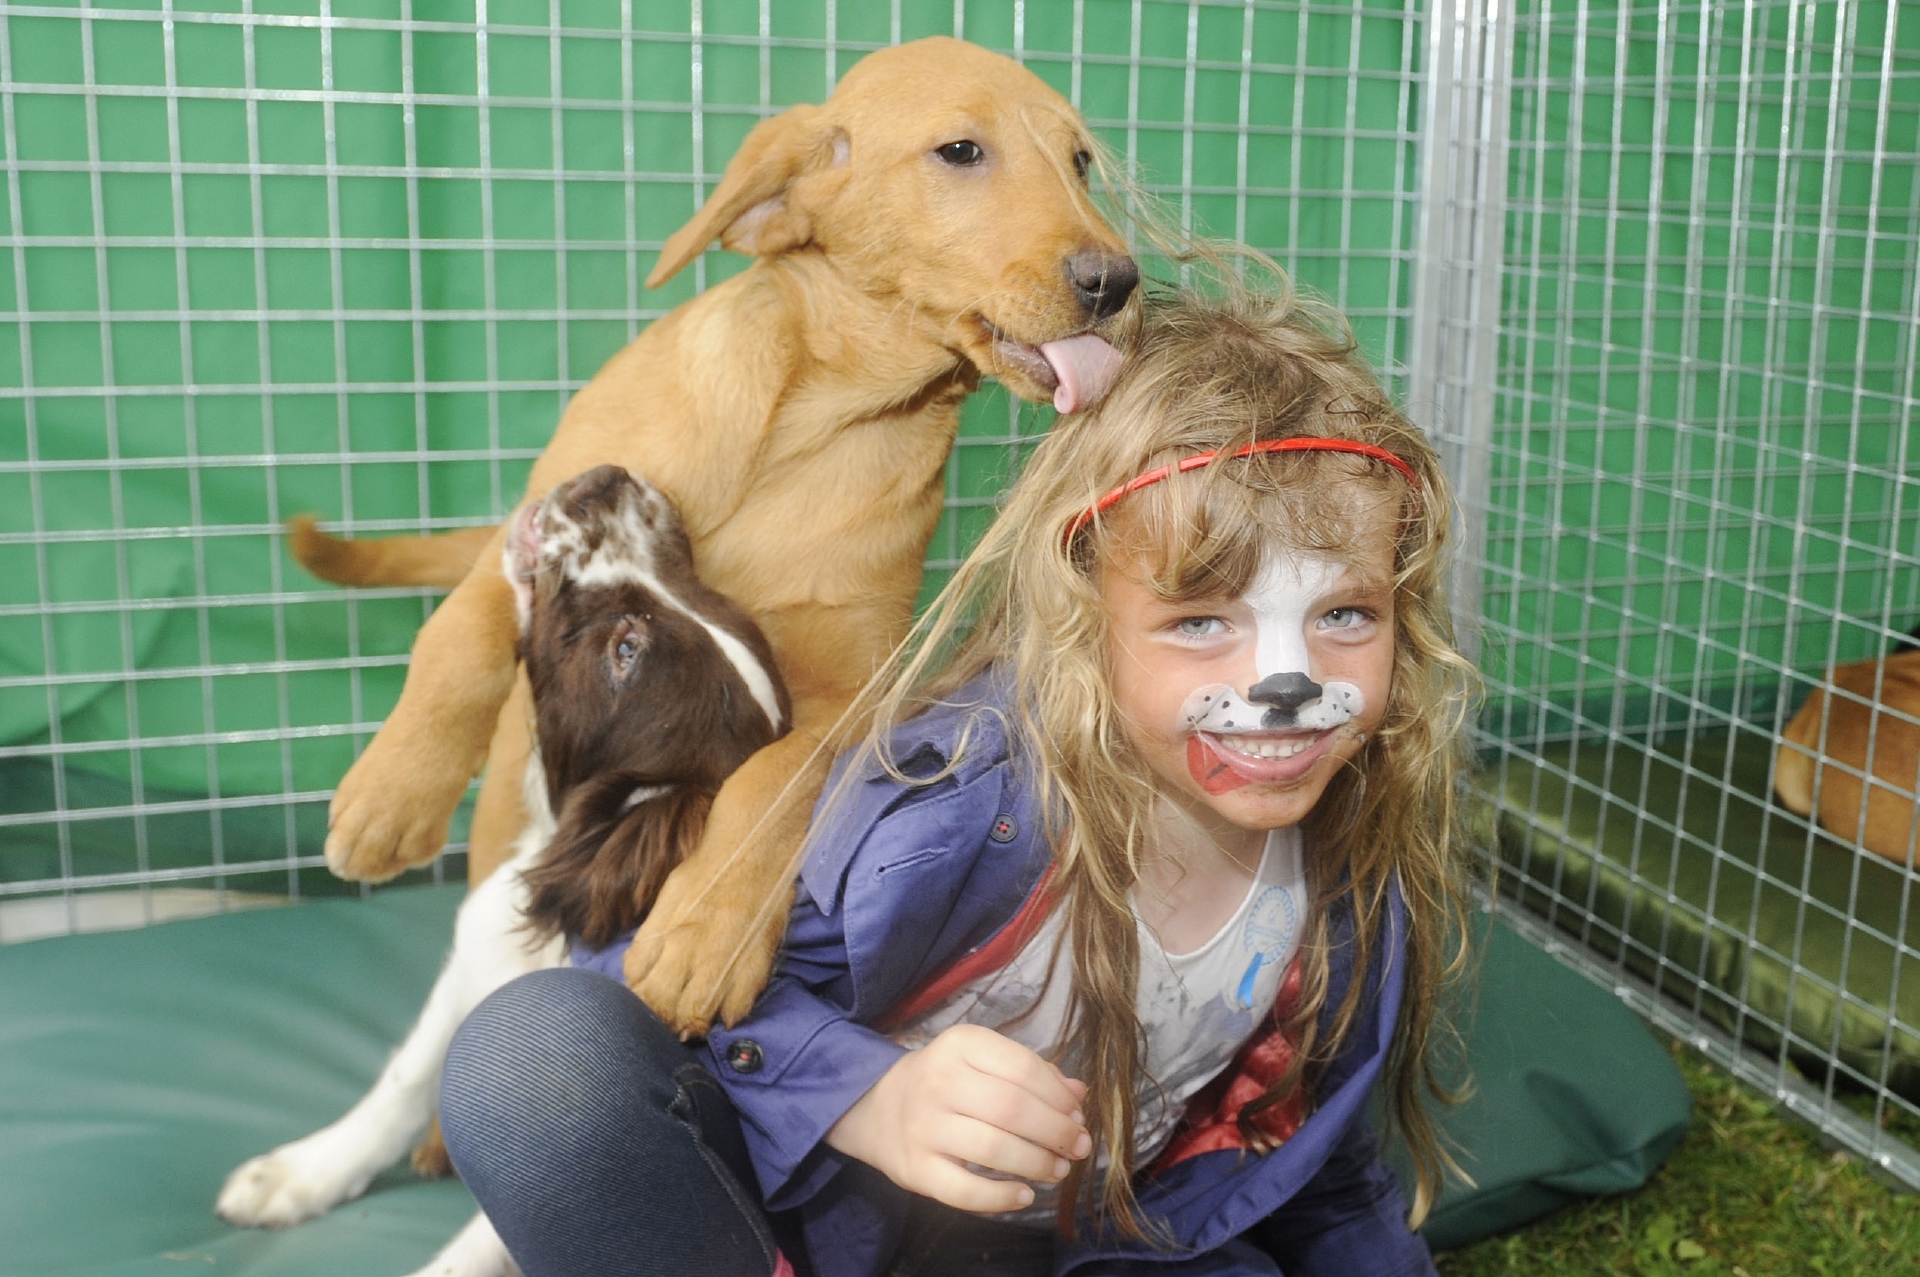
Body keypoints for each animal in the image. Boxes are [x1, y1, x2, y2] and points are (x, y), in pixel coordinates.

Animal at [210, 468, 779, 1275]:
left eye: (627, 649)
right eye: (693, 586)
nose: (610, 478)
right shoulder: (470, 964)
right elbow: (403, 1081)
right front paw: (295, 1176)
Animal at [291, 34, 1128, 1036]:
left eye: (1081, 163)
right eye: (961, 151)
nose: (1118, 283)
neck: (804, 428)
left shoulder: (847, 698)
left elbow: (772, 783)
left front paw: (705, 931)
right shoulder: (535, 523)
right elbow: (455, 632)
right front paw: (392, 795)